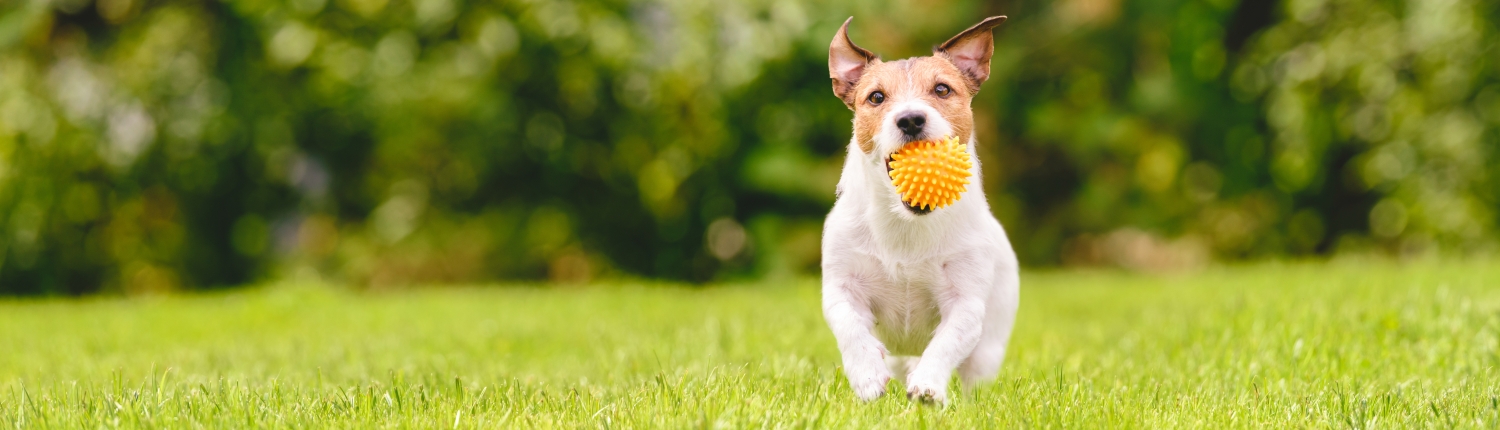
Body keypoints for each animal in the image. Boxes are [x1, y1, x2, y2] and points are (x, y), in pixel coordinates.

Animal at [822, 16, 1020, 407]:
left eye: (942, 90)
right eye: (876, 97)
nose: (911, 119)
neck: (906, 225)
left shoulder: (966, 303)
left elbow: (947, 342)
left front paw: (928, 386)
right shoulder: (841, 287)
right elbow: (850, 327)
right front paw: (867, 375)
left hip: (988, 348)